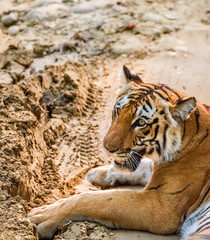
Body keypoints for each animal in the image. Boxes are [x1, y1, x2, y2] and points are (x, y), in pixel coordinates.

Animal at [28, 65, 210, 240]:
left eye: (141, 123)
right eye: (117, 111)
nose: (107, 147)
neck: (188, 136)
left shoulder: (159, 205)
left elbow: (96, 199)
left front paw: (42, 215)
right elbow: (143, 167)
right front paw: (96, 173)